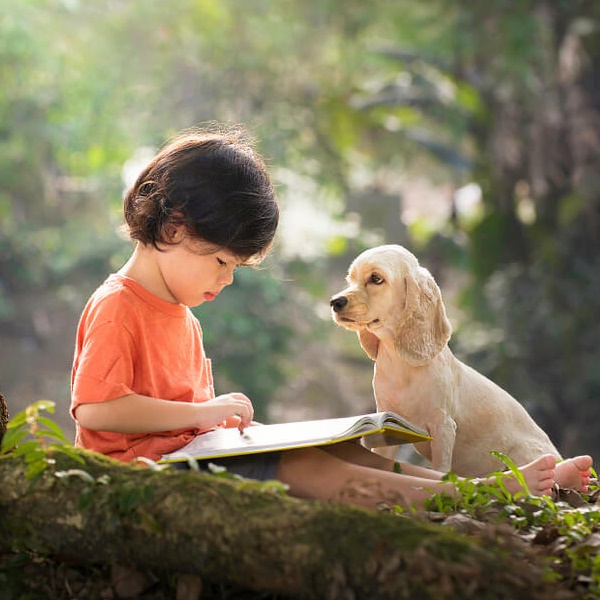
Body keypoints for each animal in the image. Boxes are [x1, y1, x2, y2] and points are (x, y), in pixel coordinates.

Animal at [328, 245, 564, 478]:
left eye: (376, 278)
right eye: (350, 280)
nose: (334, 302)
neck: (402, 365)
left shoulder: (443, 426)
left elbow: (440, 471)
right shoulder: (388, 423)